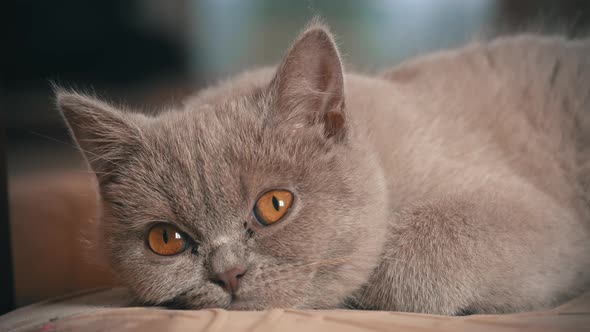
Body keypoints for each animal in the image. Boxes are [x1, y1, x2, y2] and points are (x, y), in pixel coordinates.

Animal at [56, 20, 590, 314]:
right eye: (166, 239)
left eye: (274, 205)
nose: (228, 274)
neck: (383, 163)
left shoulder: (541, 221)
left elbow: (408, 263)